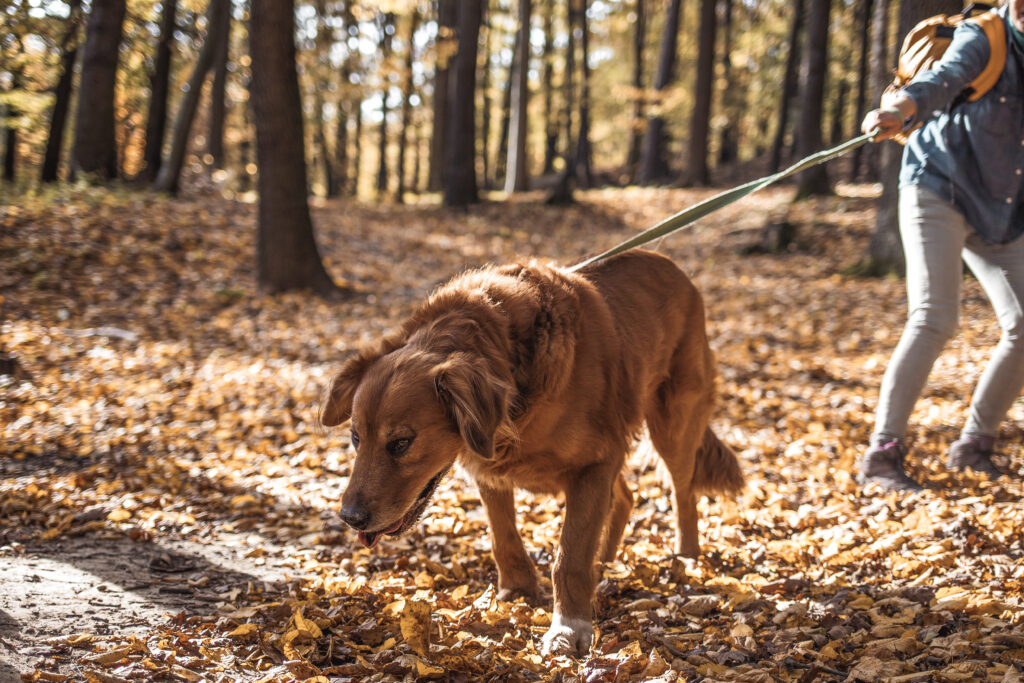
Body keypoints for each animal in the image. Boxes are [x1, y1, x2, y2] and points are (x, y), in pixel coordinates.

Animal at [315, 249, 741, 655]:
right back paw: (604, 560)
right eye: (356, 438)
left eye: (401, 443)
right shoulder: (492, 465)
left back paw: (686, 558)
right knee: (626, 496)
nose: (349, 518)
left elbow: (569, 557)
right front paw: (519, 590)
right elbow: (503, 537)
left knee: (683, 492)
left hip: (673, 423)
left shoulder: (594, 462)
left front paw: (568, 628)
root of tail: (670, 264)